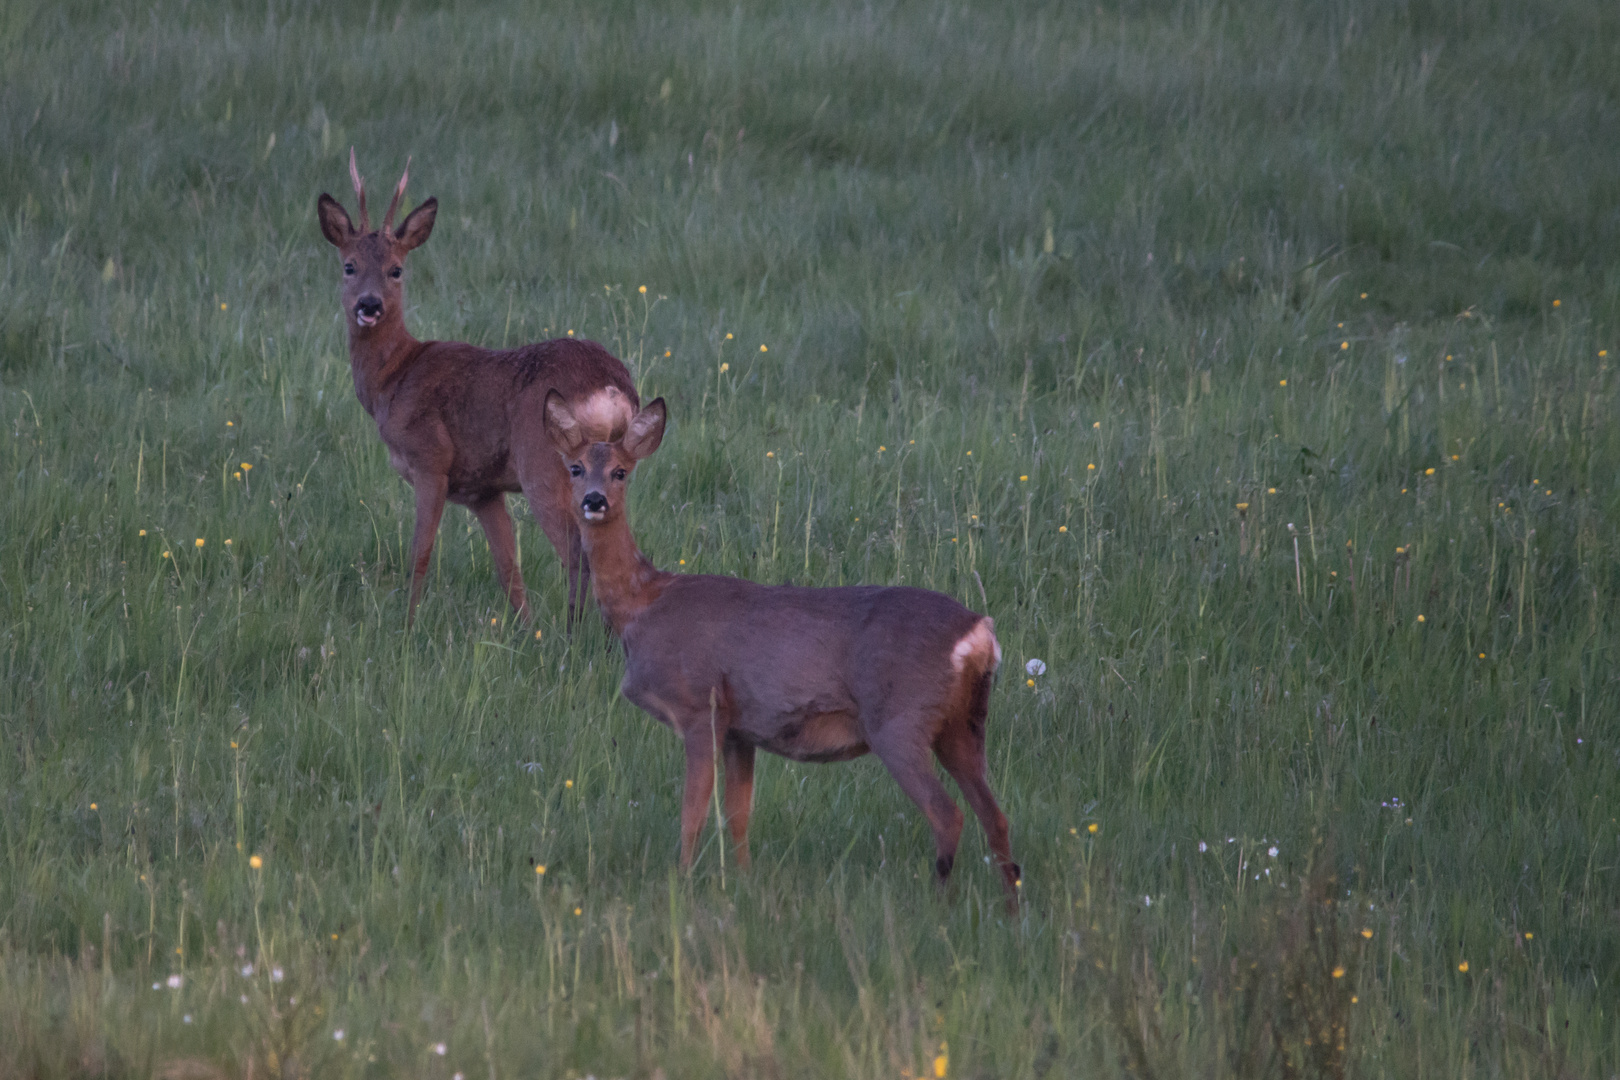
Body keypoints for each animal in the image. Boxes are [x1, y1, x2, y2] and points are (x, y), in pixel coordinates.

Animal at [317, 151, 638, 625]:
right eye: (349, 265)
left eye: (396, 269)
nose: (369, 305)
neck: (394, 379)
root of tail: (611, 386)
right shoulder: (483, 490)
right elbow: (509, 568)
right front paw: (526, 630)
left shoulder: (431, 461)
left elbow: (420, 554)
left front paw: (407, 625)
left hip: (546, 462)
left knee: (577, 554)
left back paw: (574, 633)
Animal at [550, 393, 1017, 906]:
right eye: (575, 467)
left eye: (620, 471)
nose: (594, 501)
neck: (644, 604)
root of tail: (979, 633)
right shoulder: (740, 729)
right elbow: (738, 815)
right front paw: (743, 881)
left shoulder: (699, 707)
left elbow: (693, 811)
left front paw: (683, 880)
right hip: (966, 723)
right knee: (995, 815)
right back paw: (1010, 908)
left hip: (899, 719)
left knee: (948, 813)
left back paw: (941, 902)